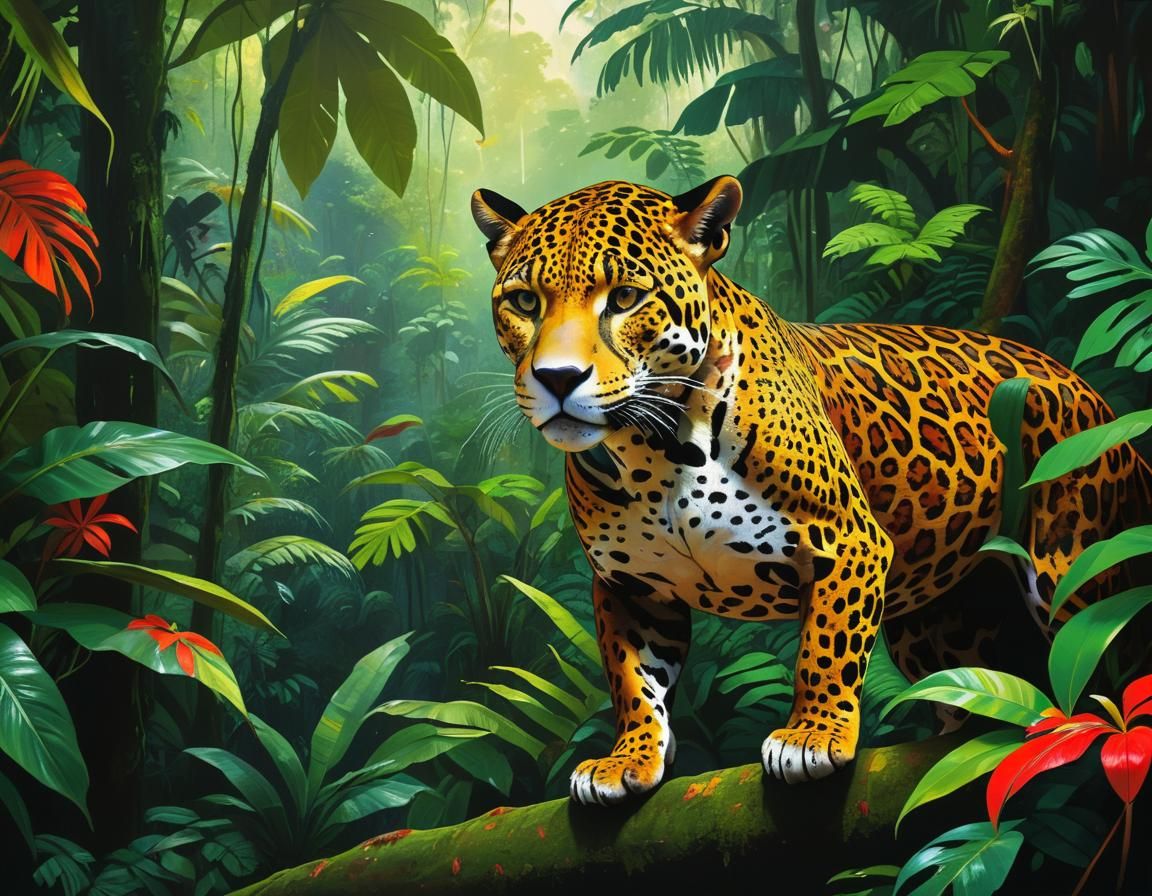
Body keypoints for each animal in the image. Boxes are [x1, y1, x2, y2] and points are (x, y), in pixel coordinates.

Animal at [470, 175, 1151, 806]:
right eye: (525, 301)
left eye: (626, 298)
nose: (558, 378)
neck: (655, 452)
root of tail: (1097, 398)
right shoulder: (630, 586)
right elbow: (634, 683)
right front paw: (627, 760)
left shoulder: (849, 544)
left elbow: (825, 647)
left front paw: (813, 736)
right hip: (942, 626)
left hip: (1074, 573)